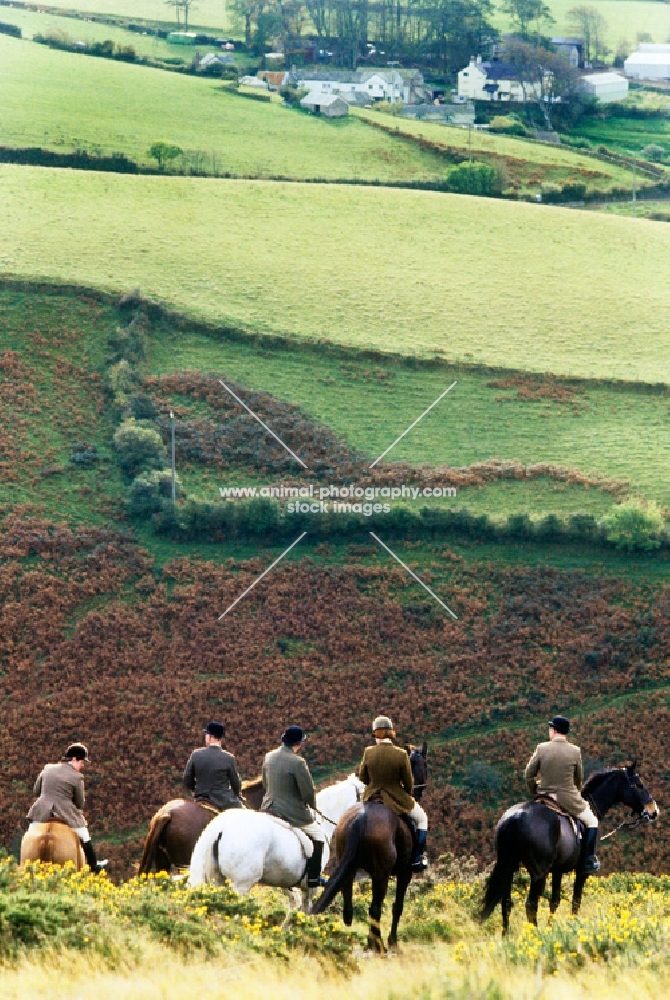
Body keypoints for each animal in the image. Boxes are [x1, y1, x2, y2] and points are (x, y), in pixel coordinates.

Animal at [189, 772, 368, 916]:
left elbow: (294, 904)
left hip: (216, 880)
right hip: (241, 884)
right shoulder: (309, 887)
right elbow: (305, 911)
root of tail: (220, 826)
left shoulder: (286, 879)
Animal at [314, 744, 434, 952]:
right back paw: (379, 945)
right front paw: (393, 941)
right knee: (375, 907)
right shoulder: (405, 873)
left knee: (348, 900)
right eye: (424, 765)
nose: (418, 793)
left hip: (350, 865)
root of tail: (361, 818)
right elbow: (397, 906)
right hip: (382, 873)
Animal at [484, 764, 660, 936]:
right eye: (639, 785)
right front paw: (573, 926)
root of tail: (516, 816)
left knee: (506, 903)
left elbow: (555, 901)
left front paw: (551, 928)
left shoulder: (558, 870)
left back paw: (506, 935)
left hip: (509, 867)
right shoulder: (582, 871)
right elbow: (576, 901)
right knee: (531, 905)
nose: (654, 811)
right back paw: (534, 935)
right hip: (538, 873)